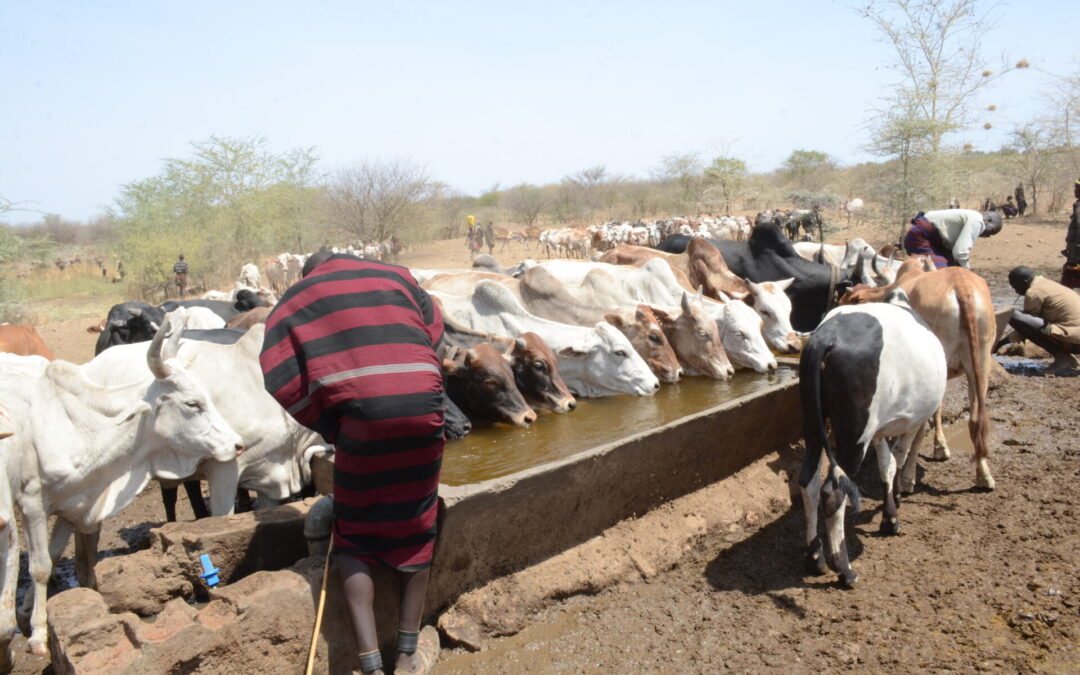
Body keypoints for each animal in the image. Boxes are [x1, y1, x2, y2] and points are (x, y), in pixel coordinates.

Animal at [794, 298, 946, 587]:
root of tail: (825, 338)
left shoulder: (879, 430)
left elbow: (886, 465)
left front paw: (891, 513)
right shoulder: (911, 420)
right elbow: (899, 456)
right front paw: (894, 505)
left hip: (812, 426)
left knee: (809, 482)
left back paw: (815, 558)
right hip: (854, 435)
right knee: (833, 491)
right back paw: (845, 569)